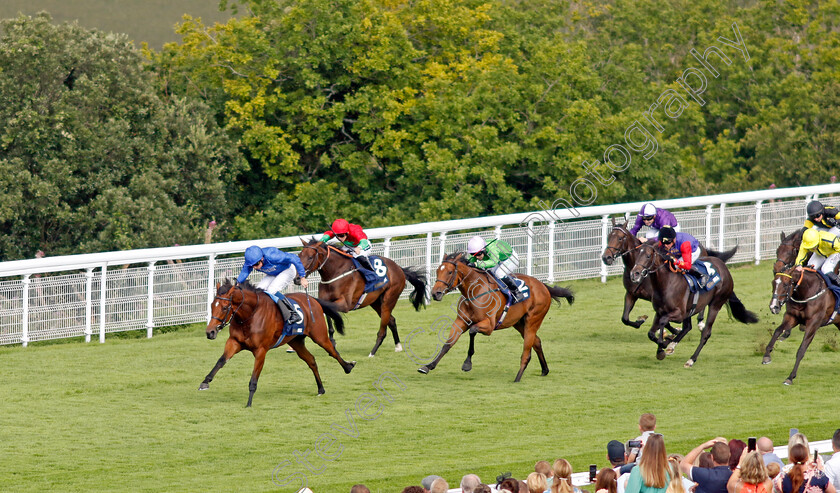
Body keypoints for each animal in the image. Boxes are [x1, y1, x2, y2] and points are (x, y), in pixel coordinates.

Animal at [202, 278, 356, 406]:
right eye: (211, 305)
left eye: (224, 307)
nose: (210, 332)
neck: (249, 316)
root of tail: (312, 299)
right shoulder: (234, 342)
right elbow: (221, 361)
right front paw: (205, 382)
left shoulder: (261, 350)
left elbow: (253, 379)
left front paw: (249, 403)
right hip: (296, 341)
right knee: (311, 360)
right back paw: (321, 389)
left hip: (319, 336)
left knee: (332, 351)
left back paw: (348, 367)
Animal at [296, 237, 426, 356]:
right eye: (299, 256)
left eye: (310, 257)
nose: (297, 279)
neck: (336, 273)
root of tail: (399, 268)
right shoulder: (328, 299)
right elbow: (326, 311)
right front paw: (332, 341)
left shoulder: (345, 304)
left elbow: (327, 307)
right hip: (376, 303)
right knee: (392, 320)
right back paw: (398, 346)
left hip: (389, 299)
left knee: (383, 329)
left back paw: (372, 352)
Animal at [418, 250, 576, 380]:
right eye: (438, 271)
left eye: (450, 272)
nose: (435, 293)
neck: (474, 291)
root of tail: (543, 286)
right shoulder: (460, 321)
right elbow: (448, 344)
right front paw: (428, 366)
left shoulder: (489, 326)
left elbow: (472, 331)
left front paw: (467, 364)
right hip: (519, 323)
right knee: (536, 341)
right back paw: (544, 370)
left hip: (533, 320)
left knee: (527, 349)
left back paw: (518, 378)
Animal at [632, 242, 760, 366]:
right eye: (637, 254)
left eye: (648, 256)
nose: (635, 273)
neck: (666, 283)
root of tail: (723, 266)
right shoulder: (659, 312)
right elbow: (651, 333)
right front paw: (665, 343)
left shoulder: (679, 314)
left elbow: (663, 322)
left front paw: (661, 348)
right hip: (691, 309)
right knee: (687, 327)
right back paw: (671, 346)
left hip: (716, 304)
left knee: (706, 333)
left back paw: (691, 360)